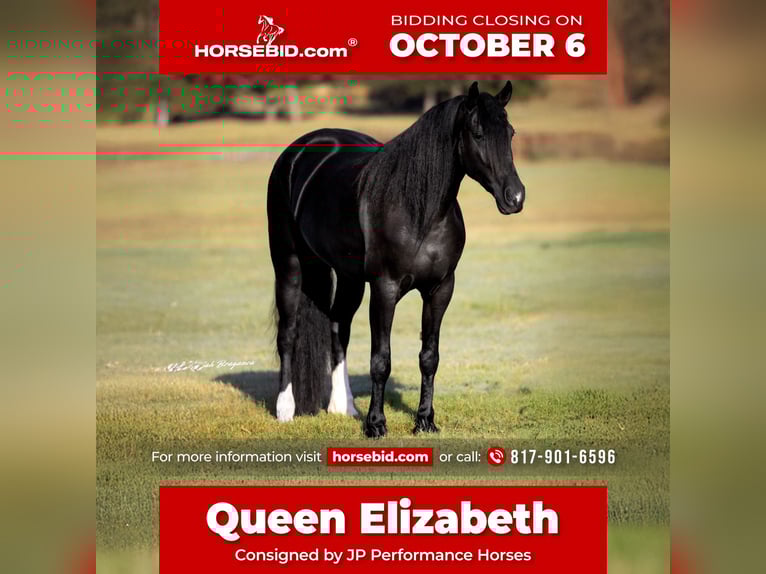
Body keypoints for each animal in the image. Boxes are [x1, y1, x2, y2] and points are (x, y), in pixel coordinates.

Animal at [266, 81, 525, 437]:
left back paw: (342, 407)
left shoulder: (440, 290)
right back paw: (285, 409)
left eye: (510, 132)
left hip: (348, 278)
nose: (515, 197)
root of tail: (297, 153)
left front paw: (425, 421)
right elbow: (381, 360)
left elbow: (429, 356)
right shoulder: (384, 290)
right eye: (478, 133)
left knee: (338, 328)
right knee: (288, 334)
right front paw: (376, 425)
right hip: (289, 265)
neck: (420, 212)